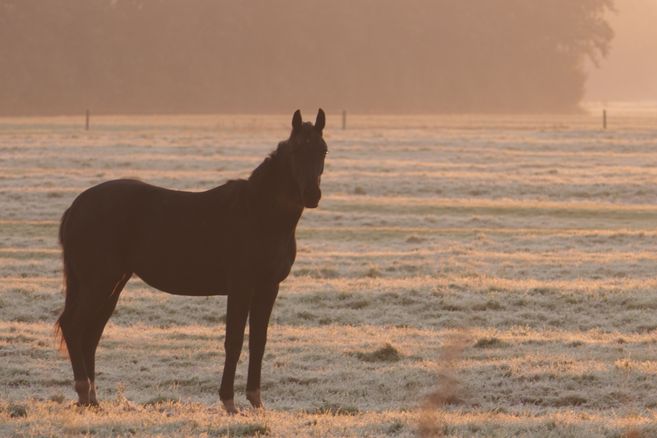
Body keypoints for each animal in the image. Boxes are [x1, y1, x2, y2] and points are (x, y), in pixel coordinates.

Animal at [55, 109, 327, 413]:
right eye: (296, 150)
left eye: (323, 150)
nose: (312, 195)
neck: (259, 213)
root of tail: (78, 205)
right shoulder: (241, 287)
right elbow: (234, 341)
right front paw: (229, 402)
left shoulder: (268, 288)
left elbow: (259, 341)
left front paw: (256, 401)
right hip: (98, 283)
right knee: (73, 326)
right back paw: (83, 393)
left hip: (112, 283)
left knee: (91, 334)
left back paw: (92, 399)